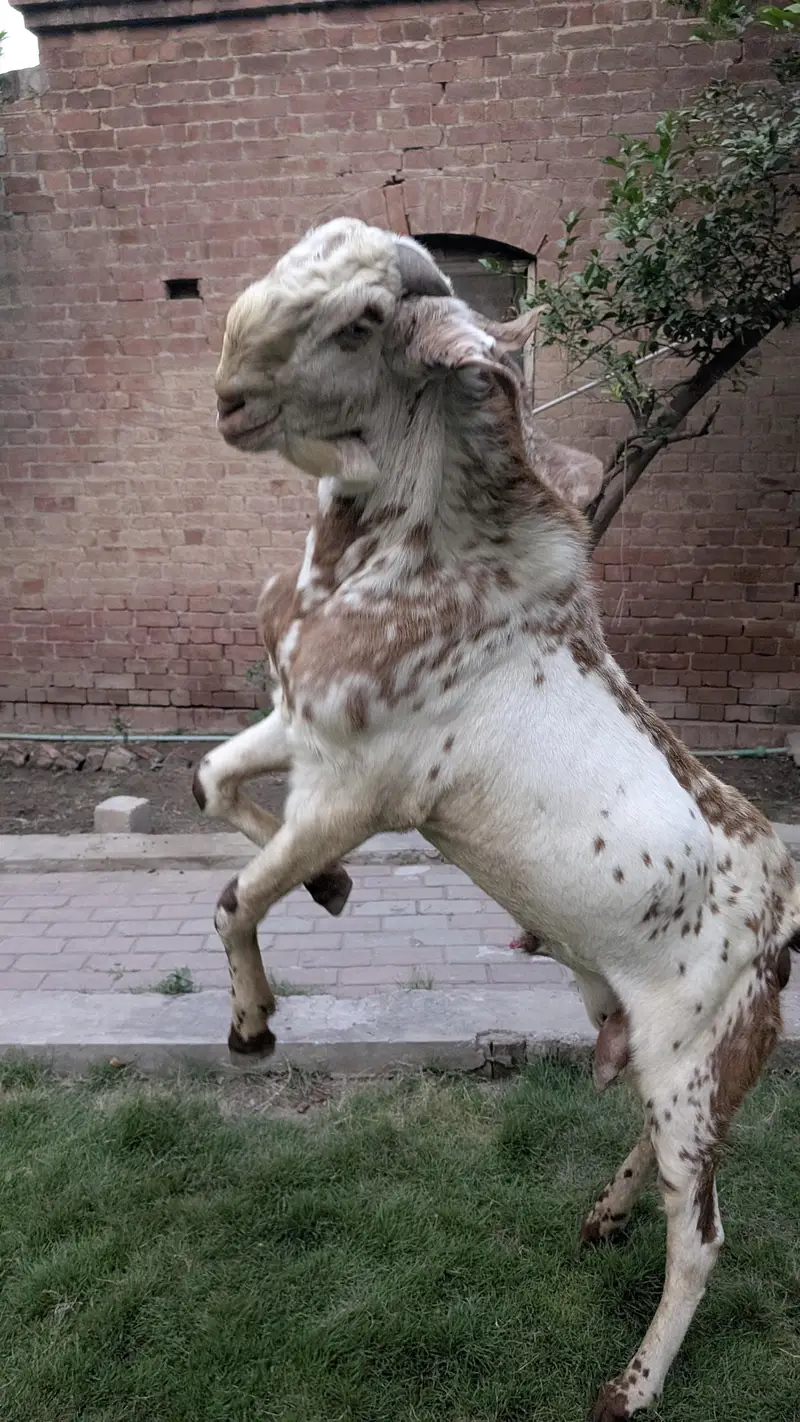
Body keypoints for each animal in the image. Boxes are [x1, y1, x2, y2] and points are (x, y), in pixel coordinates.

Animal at [194, 219, 799, 1421]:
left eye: (362, 322)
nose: (229, 399)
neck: (413, 561)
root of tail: (785, 914)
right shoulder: (300, 729)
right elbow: (207, 782)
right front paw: (331, 891)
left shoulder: (356, 789)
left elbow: (237, 898)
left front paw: (253, 1028)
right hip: (676, 1056)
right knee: (676, 1158)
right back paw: (602, 1217)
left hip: (694, 1052)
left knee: (703, 1231)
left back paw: (629, 1386)